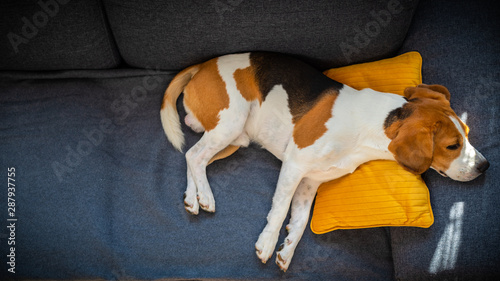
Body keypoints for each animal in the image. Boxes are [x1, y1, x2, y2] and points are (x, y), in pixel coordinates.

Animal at [160, 51, 488, 270]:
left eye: (467, 134)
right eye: (452, 145)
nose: (484, 166)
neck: (371, 125)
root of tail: (204, 64)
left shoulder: (310, 182)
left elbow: (300, 220)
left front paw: (287, 250)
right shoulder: (294, 166)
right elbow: (280, 212)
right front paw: (267, 243)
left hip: (234, 138)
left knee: (194, 157)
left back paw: (194, 197)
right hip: (230, 124)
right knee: (194, 154)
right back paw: (206, 196)